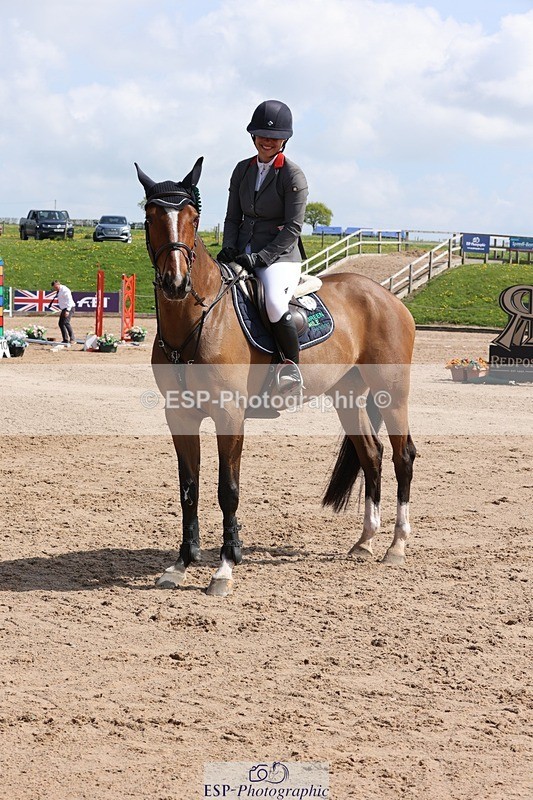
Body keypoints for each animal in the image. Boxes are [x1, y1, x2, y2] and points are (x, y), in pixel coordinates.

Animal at [135, 157, 417, 597]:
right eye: (149, 217)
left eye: (193, 218)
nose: (176, 282)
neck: (197, 318)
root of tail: (387, 296)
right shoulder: (179, 416)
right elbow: (188, 490)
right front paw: (181, 564)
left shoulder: (229, 415)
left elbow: (227, 490)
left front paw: (225, 568)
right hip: (349, 395)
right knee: (372, 455)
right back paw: (365, 542)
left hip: (393, 393)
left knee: (403, 457)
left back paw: (396, 546)